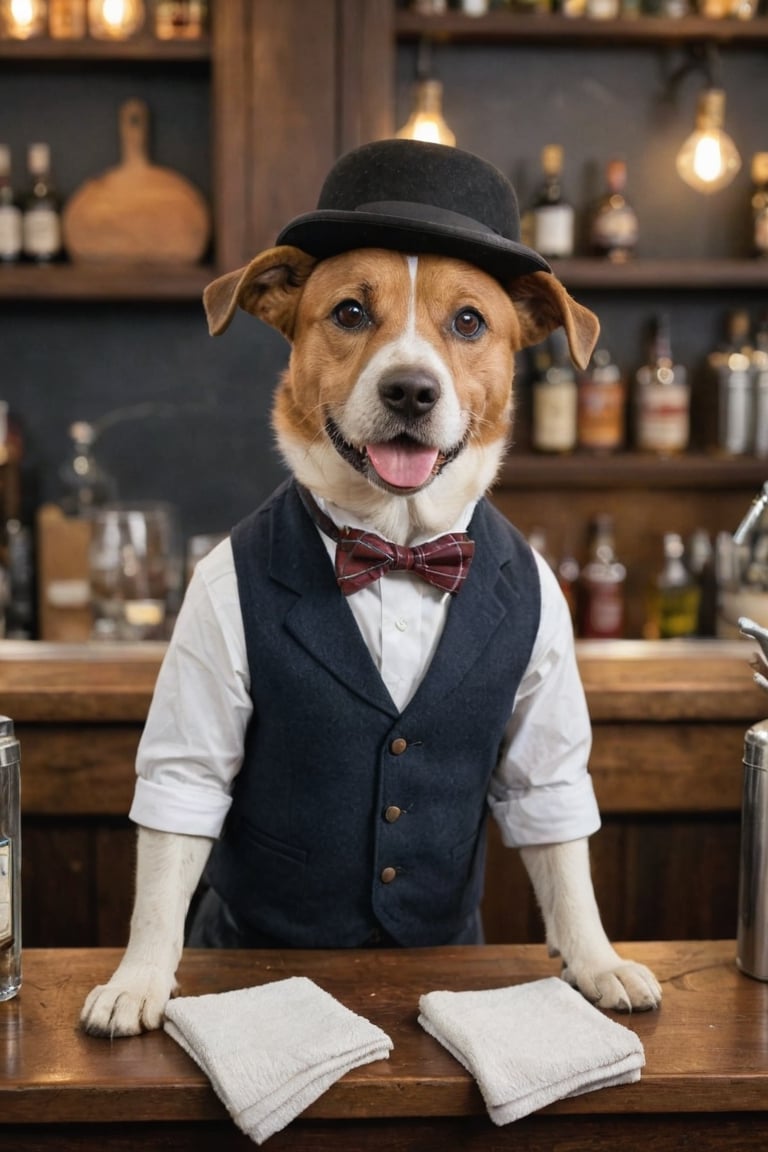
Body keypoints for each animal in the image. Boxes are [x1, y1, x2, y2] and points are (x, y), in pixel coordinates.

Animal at [82, 139, 663, 1041]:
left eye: (469, 322)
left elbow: (560, 836)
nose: (411, 390)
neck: (398, 546)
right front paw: (139, 977)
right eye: (351, 313)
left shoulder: (546, 694)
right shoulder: (201, 688)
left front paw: (596, 961)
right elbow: (172, 833)